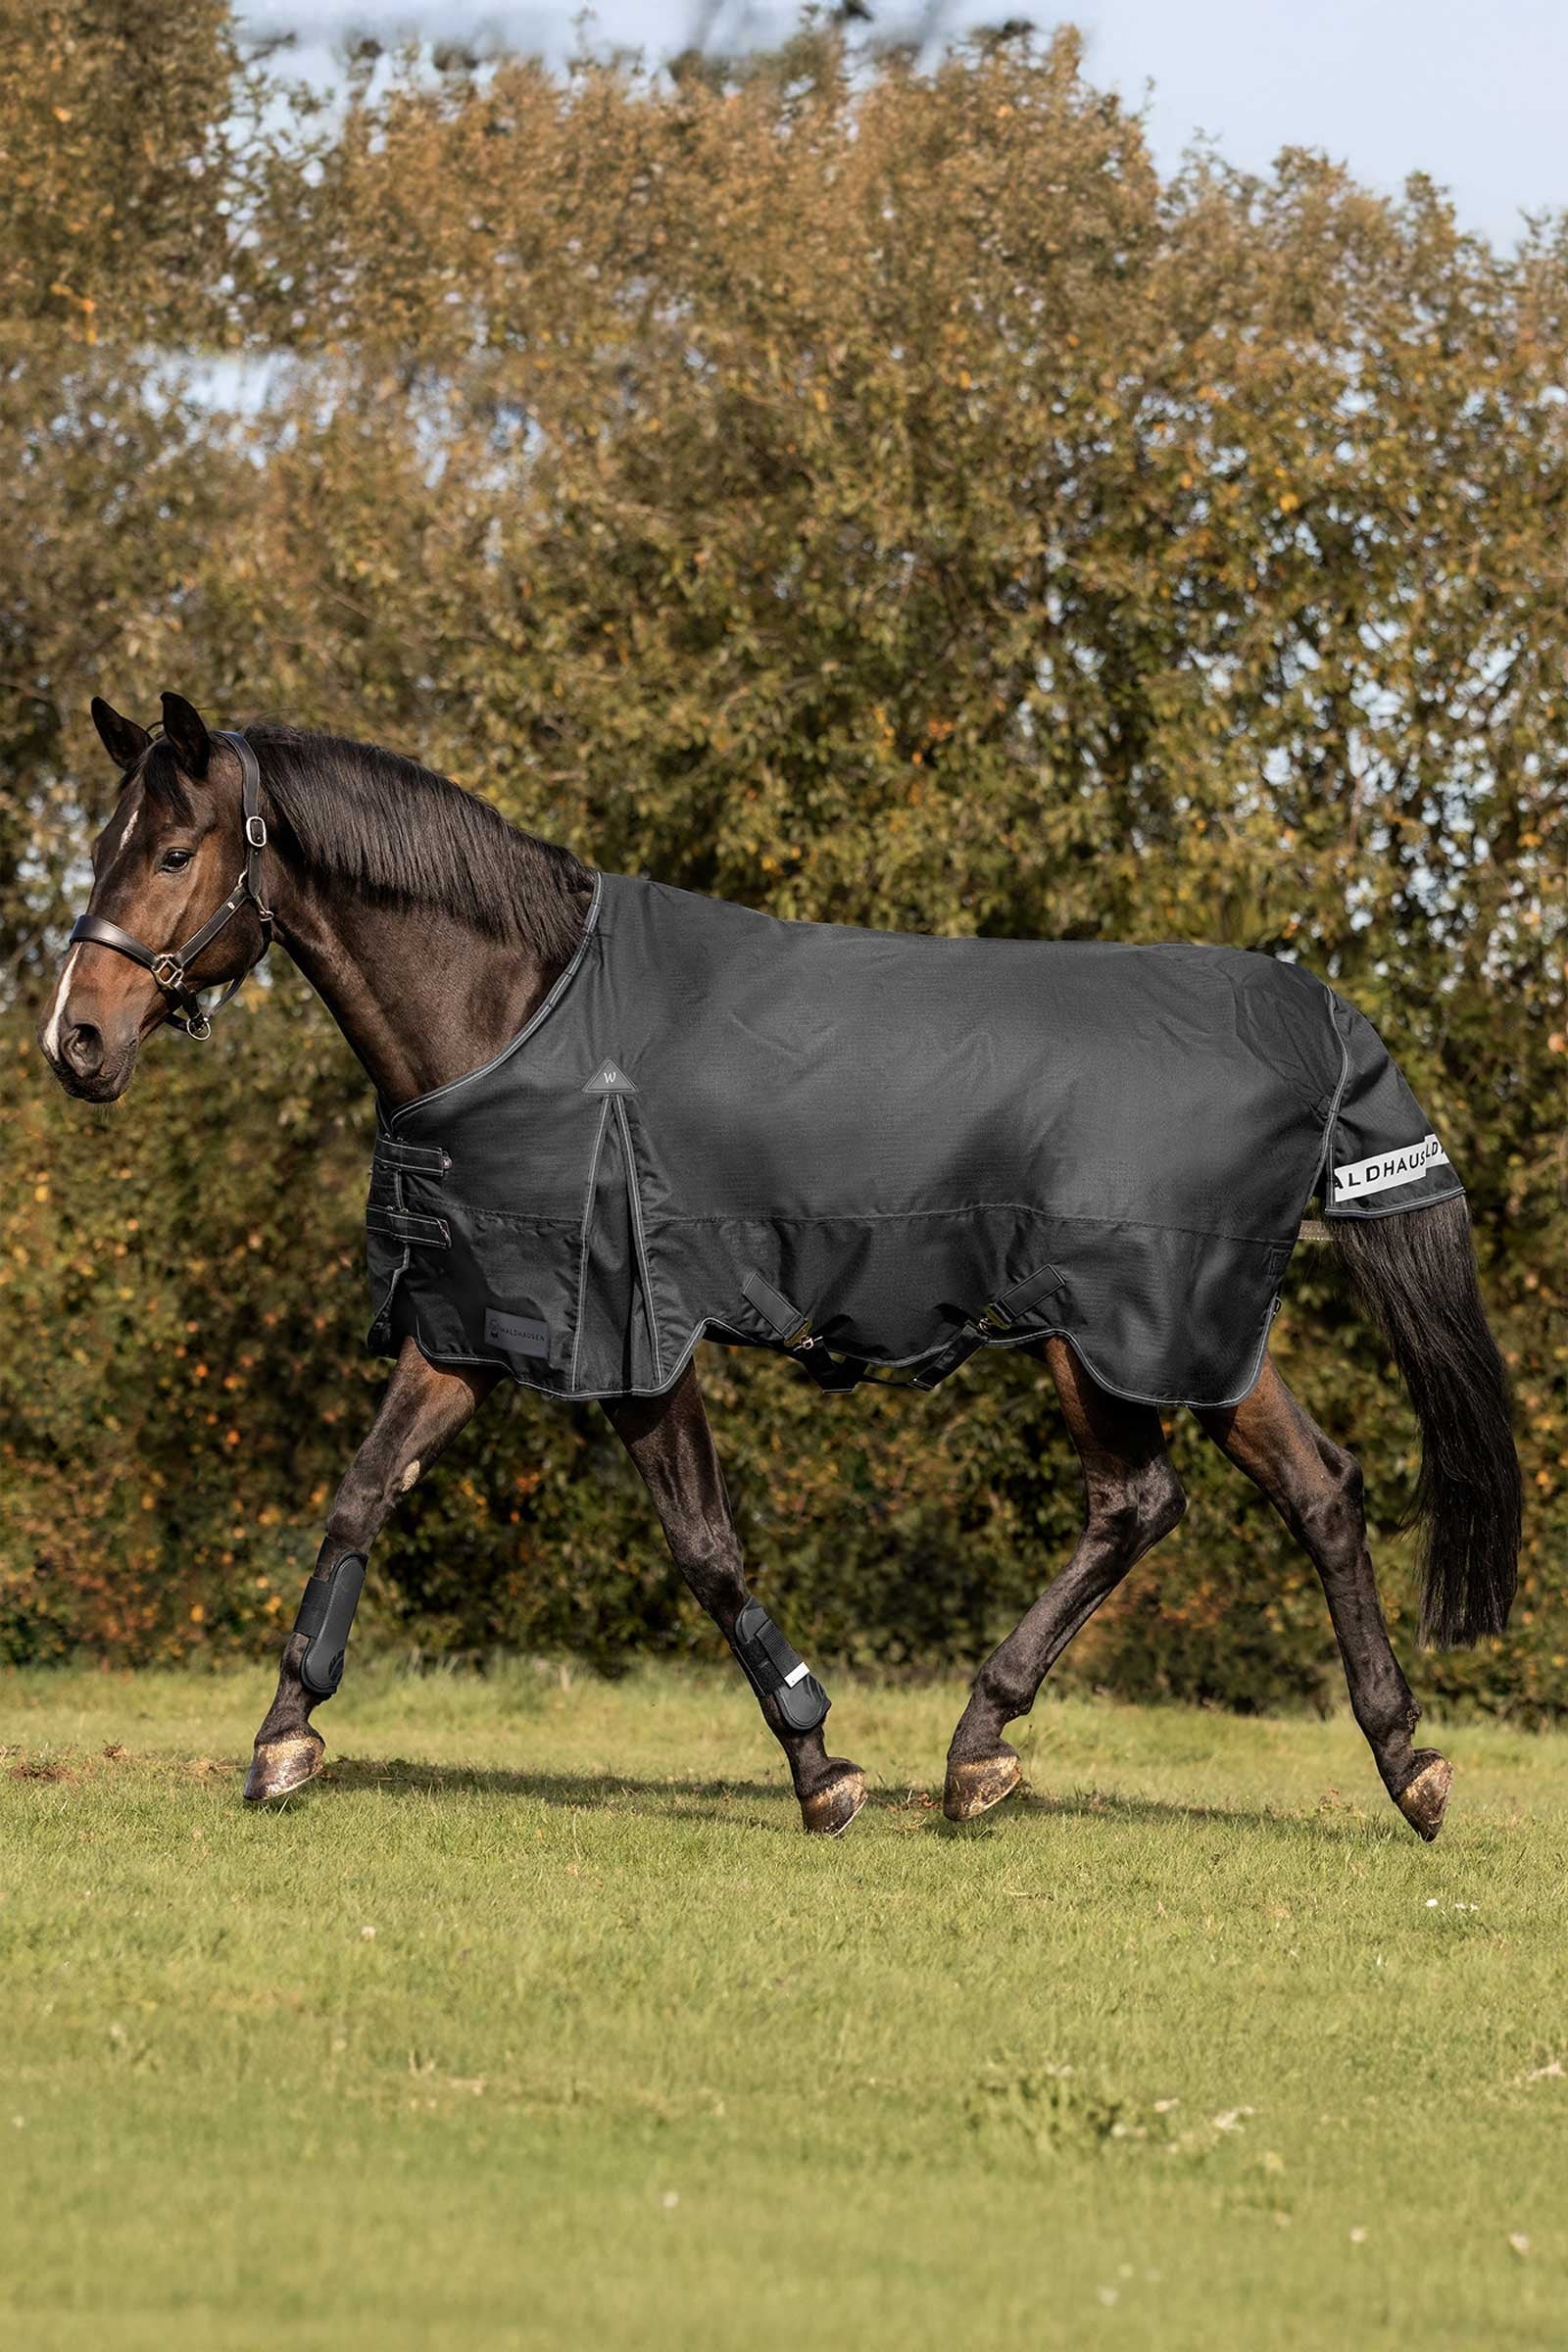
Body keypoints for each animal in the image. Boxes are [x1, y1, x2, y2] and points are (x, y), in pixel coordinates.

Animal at [39, 690, 1522, 1841]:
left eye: (170, 849)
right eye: (103, 842)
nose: (76, 1042)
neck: (524, 1016)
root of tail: (1313, 1021)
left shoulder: (635, 1337)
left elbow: (704, 1547)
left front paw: (821, 1767)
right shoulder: (477, 1322)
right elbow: (361, 1494)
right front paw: (283, 1738)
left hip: (1120, 1328)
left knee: (1150, 1502)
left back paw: (992, 1749)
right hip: (1175, 1335)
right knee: (1299, 1491)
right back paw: (1388, 1762)